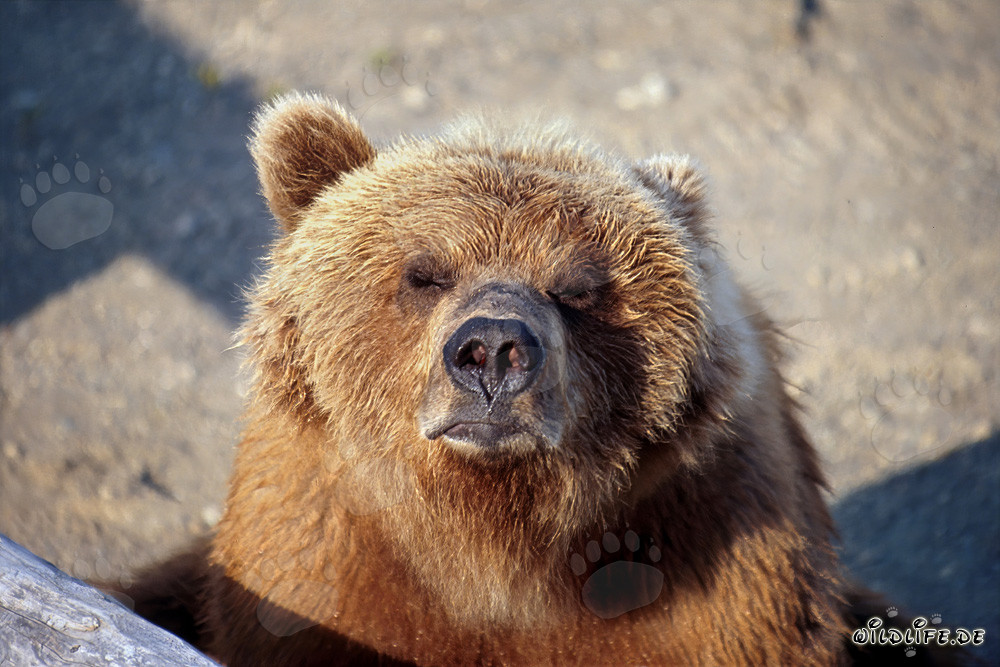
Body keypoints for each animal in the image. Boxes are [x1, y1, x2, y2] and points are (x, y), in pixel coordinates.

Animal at [109, 93, 958, 666]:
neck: (494, 545)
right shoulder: (319, 565)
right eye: (424, 270)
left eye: (578, 285)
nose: (492, 348)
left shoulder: (715, 569)